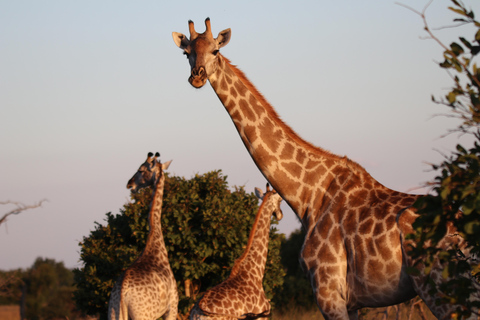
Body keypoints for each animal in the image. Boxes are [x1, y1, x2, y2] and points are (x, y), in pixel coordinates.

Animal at [108, 152, 179, 320]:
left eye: (140, 170)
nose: (129, 184)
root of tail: (123, 293)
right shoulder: (172, 307)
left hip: (113, 312)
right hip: (143, 315)